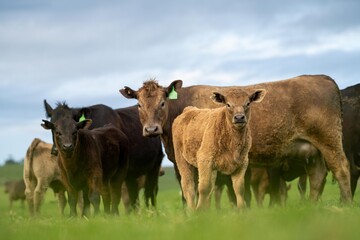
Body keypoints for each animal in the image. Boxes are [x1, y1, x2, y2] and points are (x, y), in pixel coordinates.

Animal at [120, 75, 352, 204]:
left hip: (329, 139)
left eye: (162, 102)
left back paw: (346, 204)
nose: (151, 129)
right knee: (318, 176)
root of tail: (321, 77)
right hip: (313, 150)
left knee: (341, 169)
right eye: (139, 104)